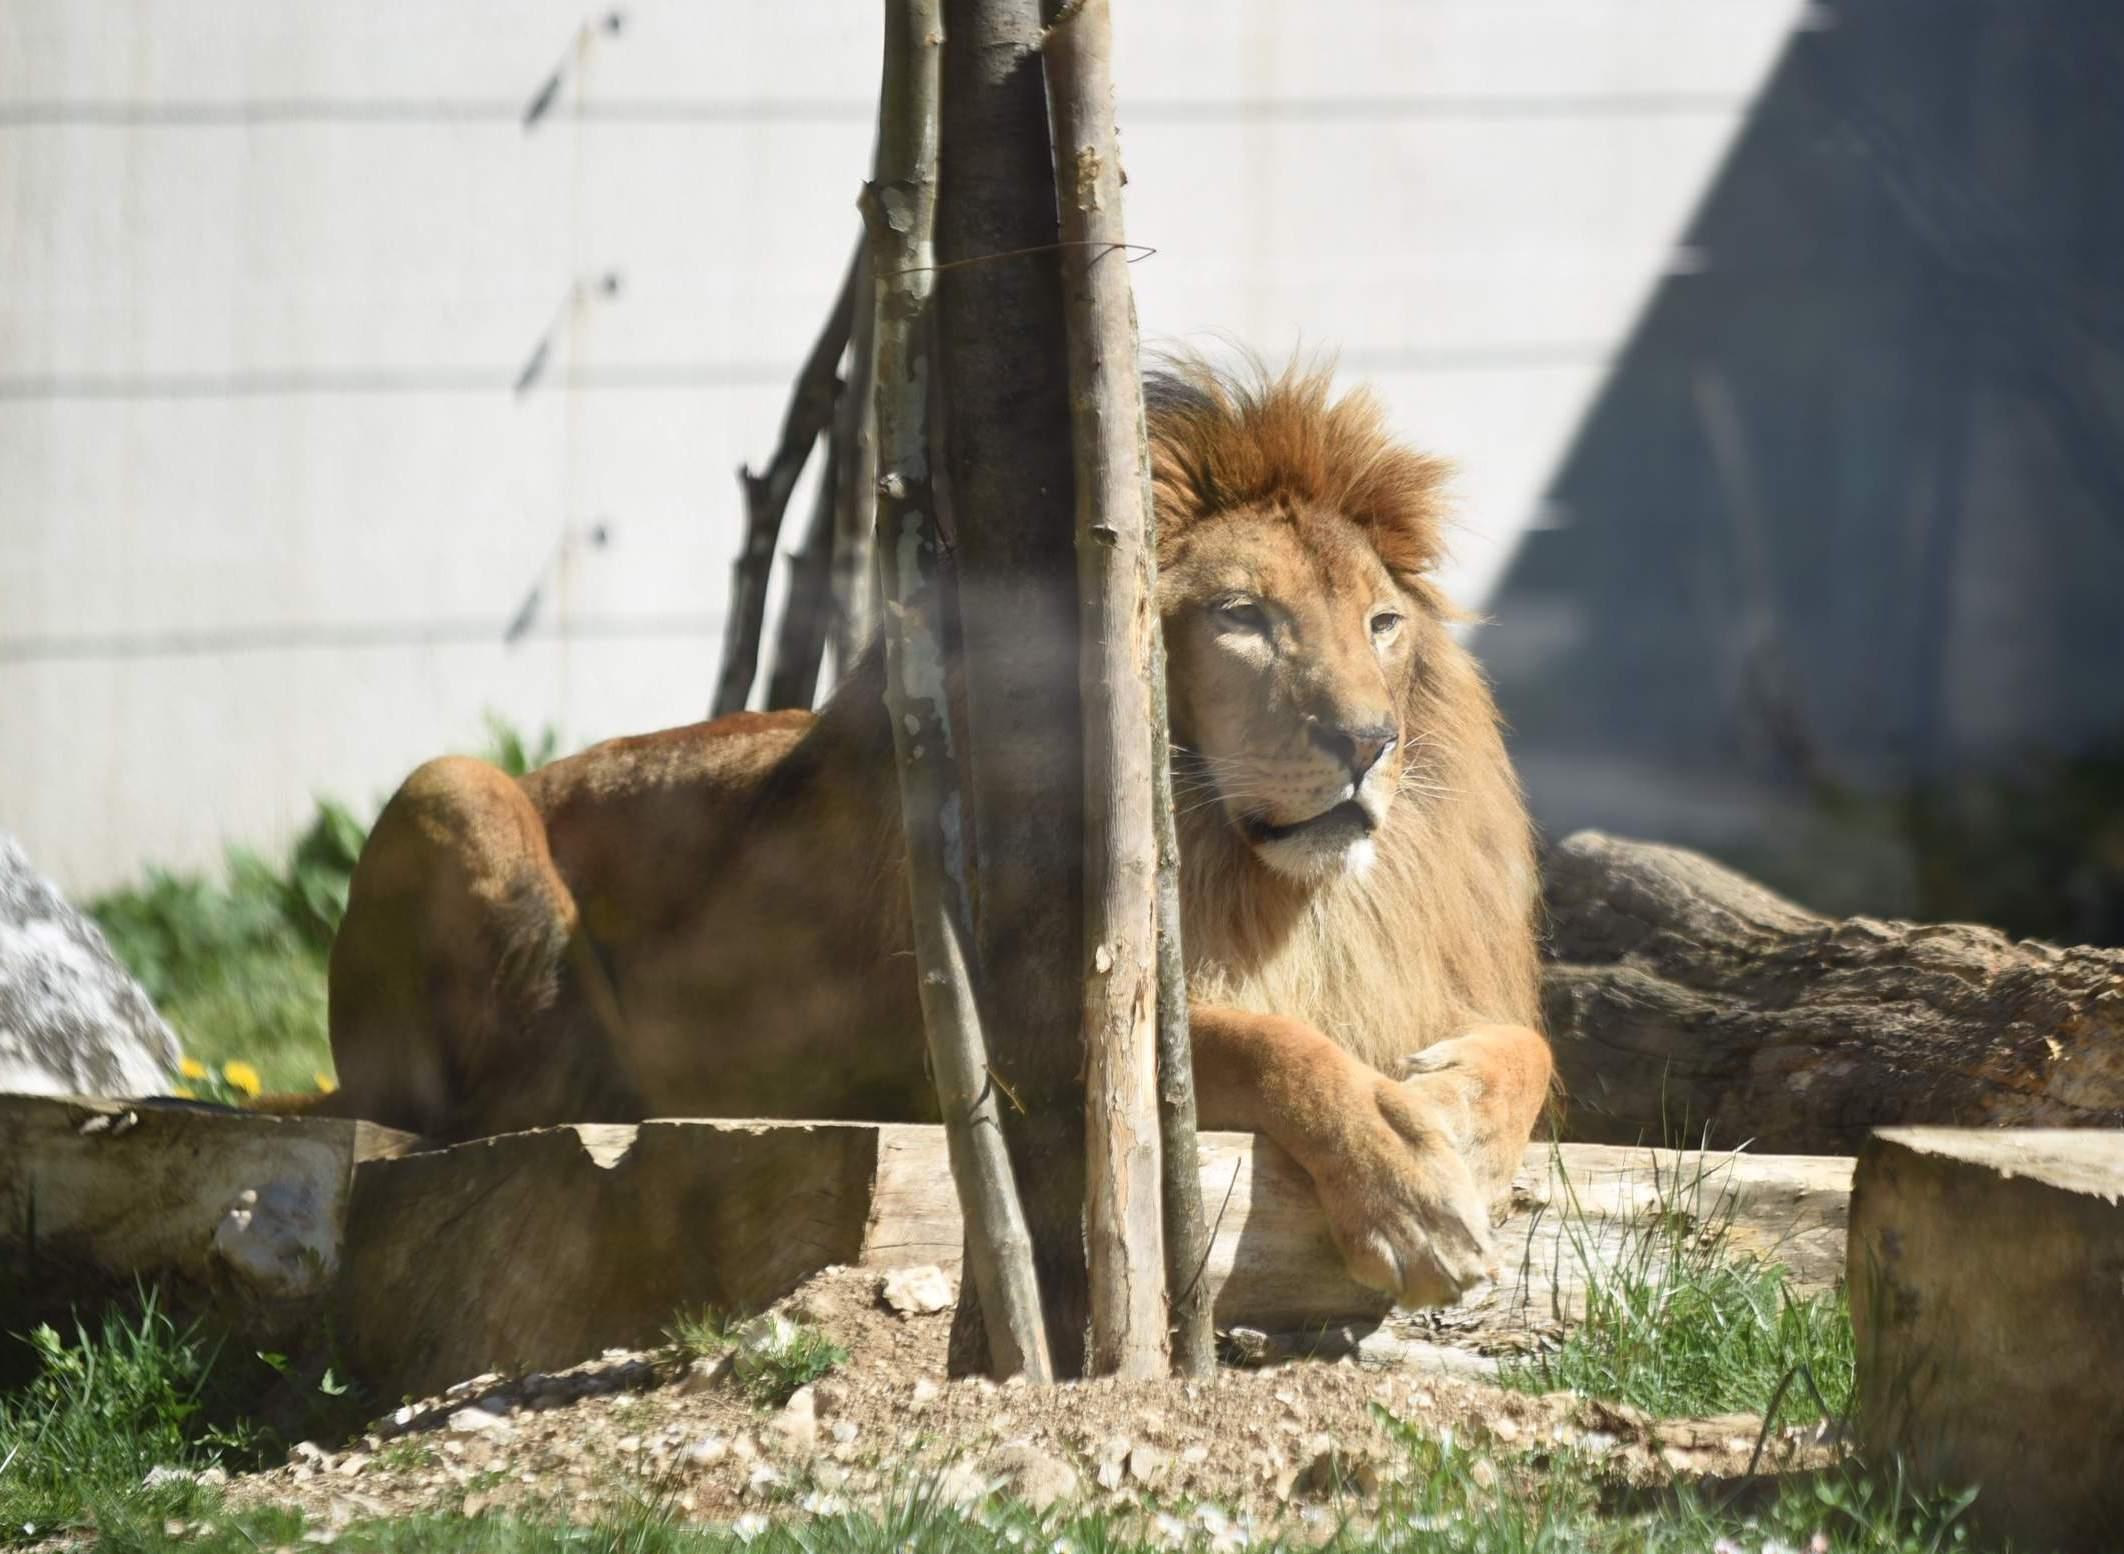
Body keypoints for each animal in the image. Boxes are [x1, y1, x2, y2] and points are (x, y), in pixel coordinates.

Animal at [314, 360, 1546, 1307]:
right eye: (1243, 618)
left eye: (1380, 625)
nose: (1369, 744)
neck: (1266, 885)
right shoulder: (979, 1038)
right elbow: (1257, 1042)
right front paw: (1411, 1185)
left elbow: (1527, 1047)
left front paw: (1458, 1121)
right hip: (452, 788)